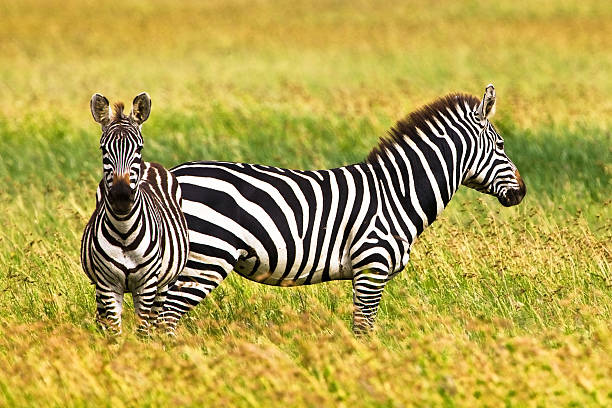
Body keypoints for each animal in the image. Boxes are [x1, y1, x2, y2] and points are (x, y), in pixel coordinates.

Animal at [80, 92, 189, 334]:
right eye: (103, 149)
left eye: (138, 148)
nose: (121, 197)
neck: (124, 231)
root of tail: (149, 165)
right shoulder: (107, 284)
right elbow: (113, 330)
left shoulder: (146, 286)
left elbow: (142, 330)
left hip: (163, 283)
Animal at [159, 84, 524, 334]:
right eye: (502, 145)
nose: (521, 192)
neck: (397, 192)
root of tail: (172, 174)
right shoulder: (372, 266)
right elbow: (363, 330)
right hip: (206, 258)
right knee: (164, 321)